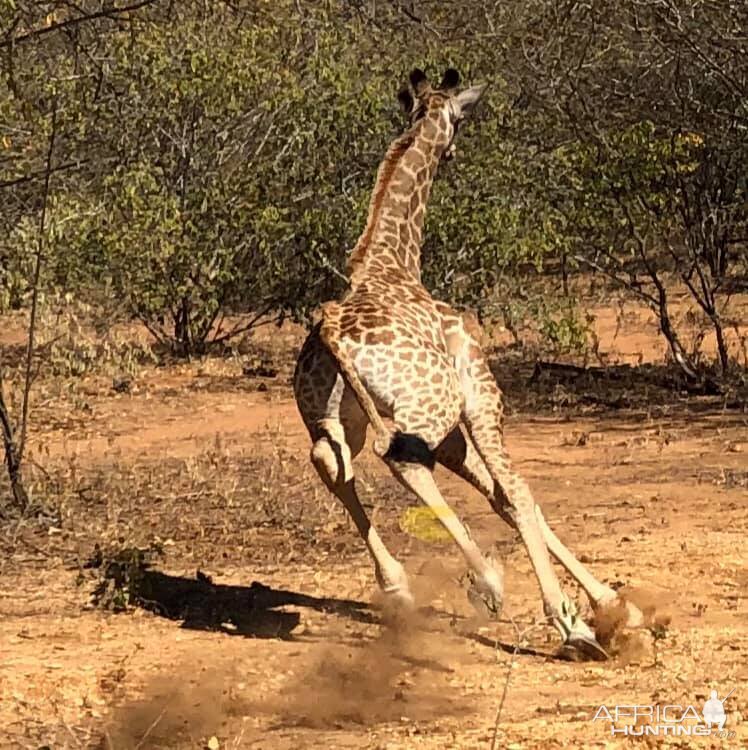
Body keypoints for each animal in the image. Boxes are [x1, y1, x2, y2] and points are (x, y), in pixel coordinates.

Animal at [292, 67, 644, 660]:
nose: (453, 151)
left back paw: (400, 588)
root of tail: (331, 328)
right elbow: (519, 494)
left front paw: (616, 606)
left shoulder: (451, 435)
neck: (395, 259)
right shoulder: (476, 397)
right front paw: (578, 618)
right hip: (430, 407)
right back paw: (493, 586)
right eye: (459, 121)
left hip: (336, 417)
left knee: (332, 463)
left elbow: (503, 497)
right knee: (400, 459)